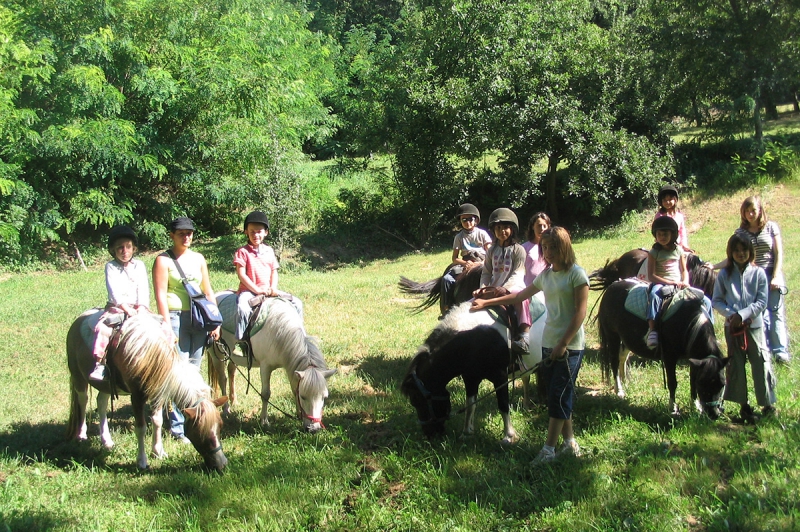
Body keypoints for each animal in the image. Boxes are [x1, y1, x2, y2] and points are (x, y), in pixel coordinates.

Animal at [66, 310, 230, 472]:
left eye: (221, 426)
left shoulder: (158, 394)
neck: (148, 358)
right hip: (78, 376)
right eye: (200, 432)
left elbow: (157, 421)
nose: (221, 464)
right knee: (83, 400)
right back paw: (81, 435)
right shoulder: (137, 397)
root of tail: (79, 319)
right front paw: (142, 461)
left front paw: (158, 451)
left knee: (101, 403)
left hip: (106, 385)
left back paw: (106, 441)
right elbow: (141, 427)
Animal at [208, 290, 336, 432]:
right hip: (217, 355)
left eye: (324, 397)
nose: (314, 429)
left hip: (232, 356)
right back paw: (226, 409)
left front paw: (298, 414)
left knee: (231, 371)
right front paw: (264, 421)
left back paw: (234, 401)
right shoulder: (265, 367)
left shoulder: (290, 365)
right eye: (303, 396)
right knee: (222, 379)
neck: (279, 331)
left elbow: (294, 388)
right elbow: (266, 393)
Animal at [396, 302, 520, 442]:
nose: (429, 434)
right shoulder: (470, 378)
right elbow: (470, 405)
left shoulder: (500, 376)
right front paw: (466, 433)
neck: (473, 339)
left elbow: (503, 404)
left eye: (417, 401)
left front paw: (509, 436)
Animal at [596, 280, 728, 418]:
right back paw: (619, 390)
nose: (714, 414)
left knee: (622, 357)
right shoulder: (669, 357)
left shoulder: (694, 358)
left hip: (626, 339)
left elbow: (692, 380)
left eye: (722, 384)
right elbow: (672, 382)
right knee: (614, 362)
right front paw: (673, 408)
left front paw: (696, 406)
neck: (686, 321)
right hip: (612, 336)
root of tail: (611, 287)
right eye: (702, 383)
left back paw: (624, 381)